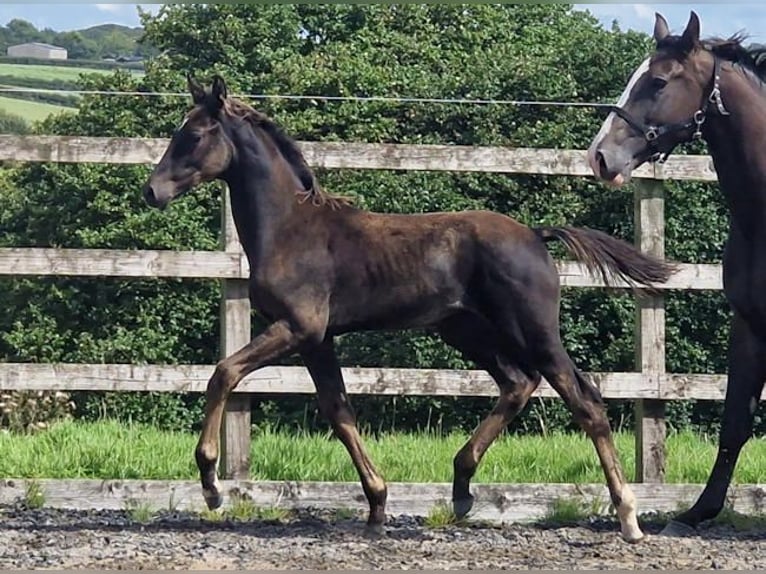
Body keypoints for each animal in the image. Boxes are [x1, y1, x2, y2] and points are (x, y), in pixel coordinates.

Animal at [144, 74, 680, 544]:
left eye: (194, 134)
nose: (152, 191)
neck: (292, 228)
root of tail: (534, 233)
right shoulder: (318, 339)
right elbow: (339, 410)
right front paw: (378, 506)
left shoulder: (297, 327)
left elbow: (224, 372)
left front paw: (211, 483)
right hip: (467, 330)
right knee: (517, 383)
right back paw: (461, 488)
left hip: (532, 331)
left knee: (584, 401)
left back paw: (628, 517)